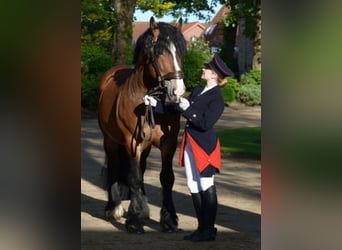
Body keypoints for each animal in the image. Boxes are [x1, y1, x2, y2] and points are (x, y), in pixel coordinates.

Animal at [96, 18, 187, 234]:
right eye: (160, 53)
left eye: (180, 52)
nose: (178, 92)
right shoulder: (132, 143)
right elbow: (134, 177)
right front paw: (134, 220)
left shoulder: (168, 144)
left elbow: (167, 178)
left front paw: (169, 219)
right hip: (110, 141)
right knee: (114, 165)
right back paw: (114, 207)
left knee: (143, 167)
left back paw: (143, 206)